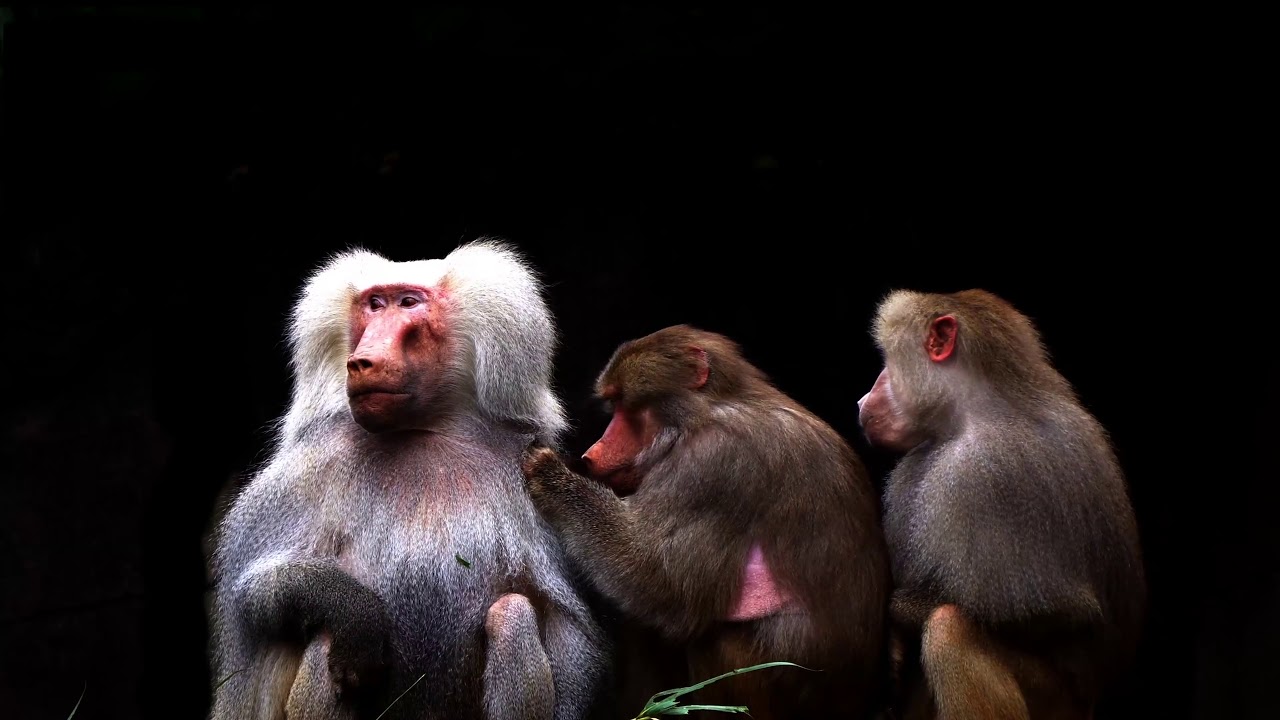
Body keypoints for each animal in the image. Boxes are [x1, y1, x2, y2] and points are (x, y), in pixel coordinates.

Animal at [206, 240, 609, 720]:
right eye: (374, 304)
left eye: (409, 302)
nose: (362, 362)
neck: (421, 431)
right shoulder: (306, 470)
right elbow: (251, 598)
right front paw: (354, 611)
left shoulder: (528, 468)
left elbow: (570, 626)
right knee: (327, 634)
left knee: (512, 615)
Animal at [522, 324, 892, 720]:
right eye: (613, 405)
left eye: (625, 407)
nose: (593, 452)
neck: (707, 411)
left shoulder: (711, 466)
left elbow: (661, 583)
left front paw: (552, 477)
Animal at [856, 289, 1146, 720]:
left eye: (886, 364)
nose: (861, 400)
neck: (976, 408)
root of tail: (1089, 705)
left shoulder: (981, 470)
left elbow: (1054, 611)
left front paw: (897, 620)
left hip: (1054, 703)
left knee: (949, 627)